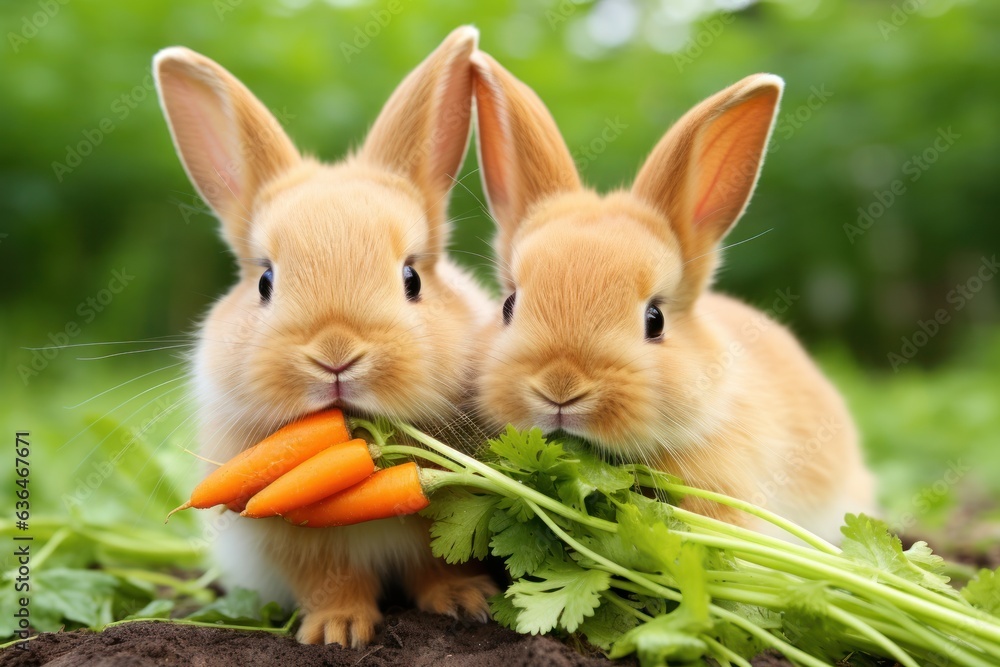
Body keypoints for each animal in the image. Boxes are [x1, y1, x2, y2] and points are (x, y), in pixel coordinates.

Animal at [154, 26, 498, 648]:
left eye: (412, 279)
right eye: (265, 281)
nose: (335, 356)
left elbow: (436, 563)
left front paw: (465, 603)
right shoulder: (297, 542)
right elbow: (331, 580)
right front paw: (338, 632)